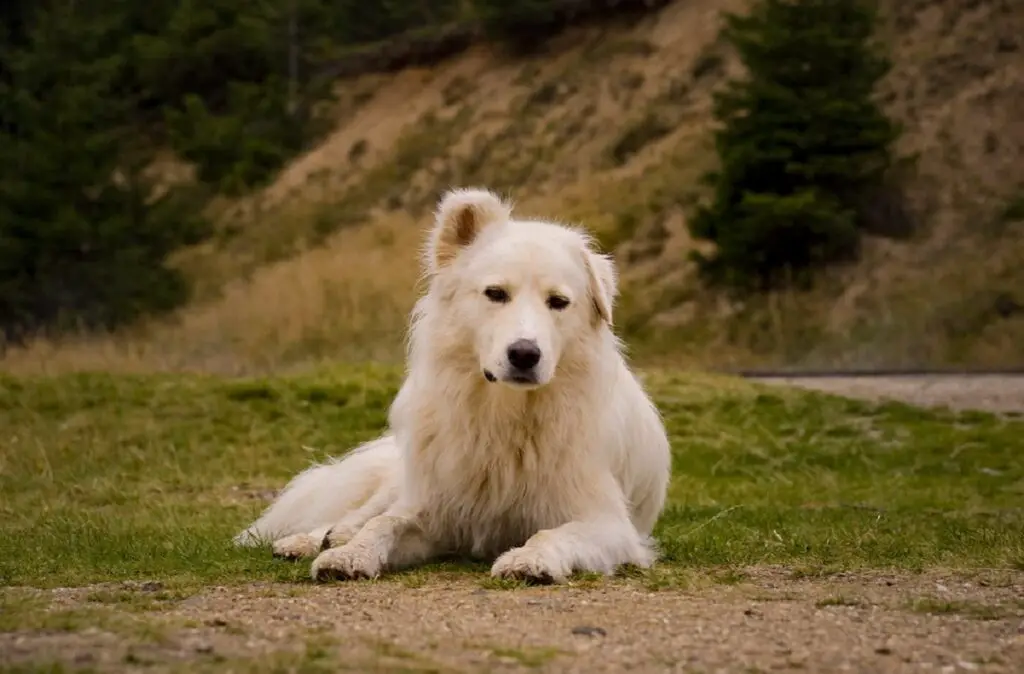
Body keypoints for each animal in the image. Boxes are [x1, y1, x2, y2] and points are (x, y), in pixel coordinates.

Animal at [235, 186, 675, 581]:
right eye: (495, 294)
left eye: (558, 303)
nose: (524, 354)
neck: (505, 416)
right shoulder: (435, 510)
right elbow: (384, 524)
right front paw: (348, 555)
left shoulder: (607, 523)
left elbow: (551, 535)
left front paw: (529, 560)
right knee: (358, 514)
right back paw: (312, 540)